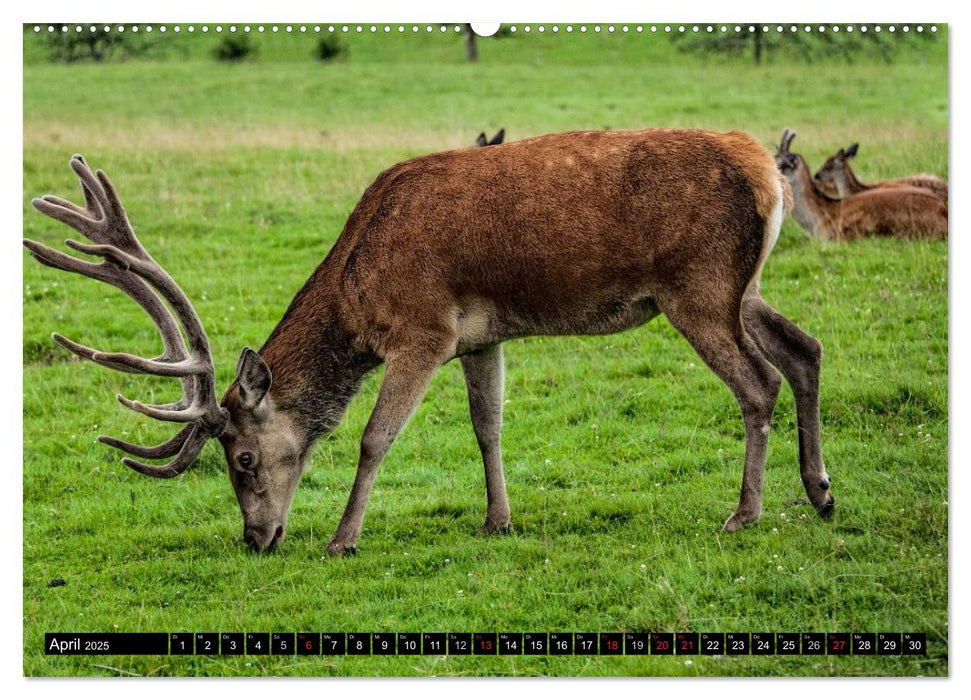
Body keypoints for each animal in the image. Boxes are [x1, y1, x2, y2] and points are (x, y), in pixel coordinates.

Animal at [20, 130, 836, 556]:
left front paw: (342, 538)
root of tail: (767, 170)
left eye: (243, 458)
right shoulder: (480, 336)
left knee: (757, 383)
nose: (256, 538)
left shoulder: (422, 331)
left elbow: (374, 437)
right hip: (741, 288)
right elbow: (487, 426)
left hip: (695, 288)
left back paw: (743, 514)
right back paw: (820, 491)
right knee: (805, 349)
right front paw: (498, 520)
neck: (358, 291)